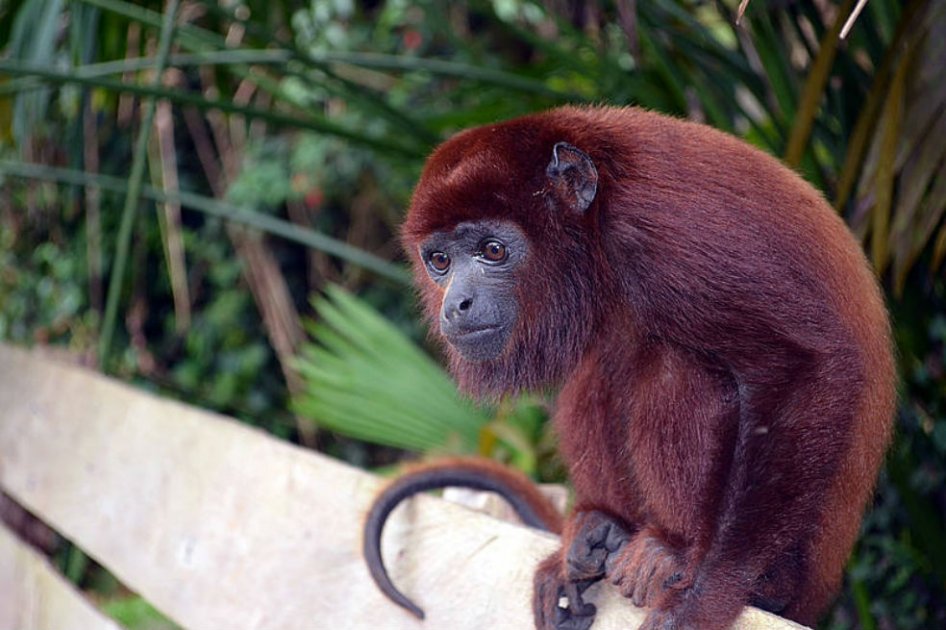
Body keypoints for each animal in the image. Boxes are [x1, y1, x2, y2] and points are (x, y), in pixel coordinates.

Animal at [363, 106, 896, 630]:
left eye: (493, 250)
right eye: (440, 261)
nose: (456, 305)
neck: (597, 217)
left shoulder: (663, 231)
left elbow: (808, 366)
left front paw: (706, 595)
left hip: (795, 575)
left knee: (675, 368)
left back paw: (676, 552)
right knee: (597, 370)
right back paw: (604, 526)